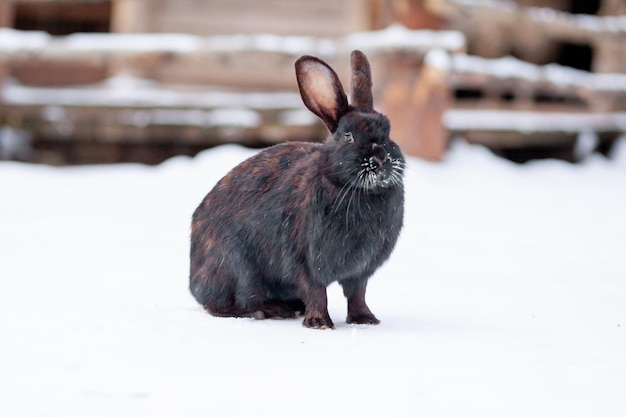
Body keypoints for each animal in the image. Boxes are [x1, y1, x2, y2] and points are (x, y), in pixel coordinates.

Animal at [189, 49, 404, 328]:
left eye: (388, 131)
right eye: (348, 135)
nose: (380, 159)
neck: (358, 190)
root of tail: (194, 279)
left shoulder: (360, 272)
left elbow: (357, 294)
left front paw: (365, 319)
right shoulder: (307, 261)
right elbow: (317, 291)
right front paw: (320, 323)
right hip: (239, 269)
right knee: (223, 304)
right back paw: (268, 311)